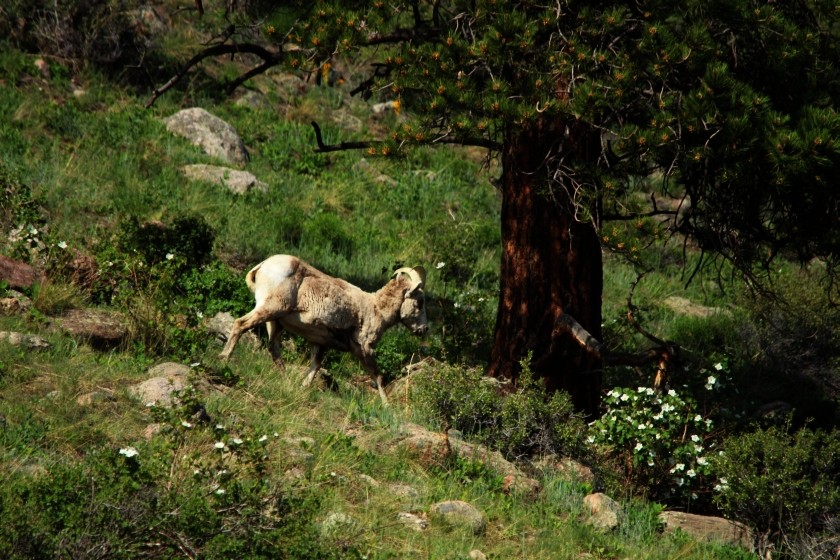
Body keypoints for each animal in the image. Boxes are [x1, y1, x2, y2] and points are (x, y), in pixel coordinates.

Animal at [218, 254, 428, 402]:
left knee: (274, 349)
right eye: (419, 302)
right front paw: (387, 407)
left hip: (275, 322)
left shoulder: (320, 344)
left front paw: (303, 387)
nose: (424, 329)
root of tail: (262, 266)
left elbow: (315, 367)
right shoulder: (365, 348)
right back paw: (223, 359)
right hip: (270, 308)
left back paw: (286, 380)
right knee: (240, 324)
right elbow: (378, 377)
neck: (376, 308)